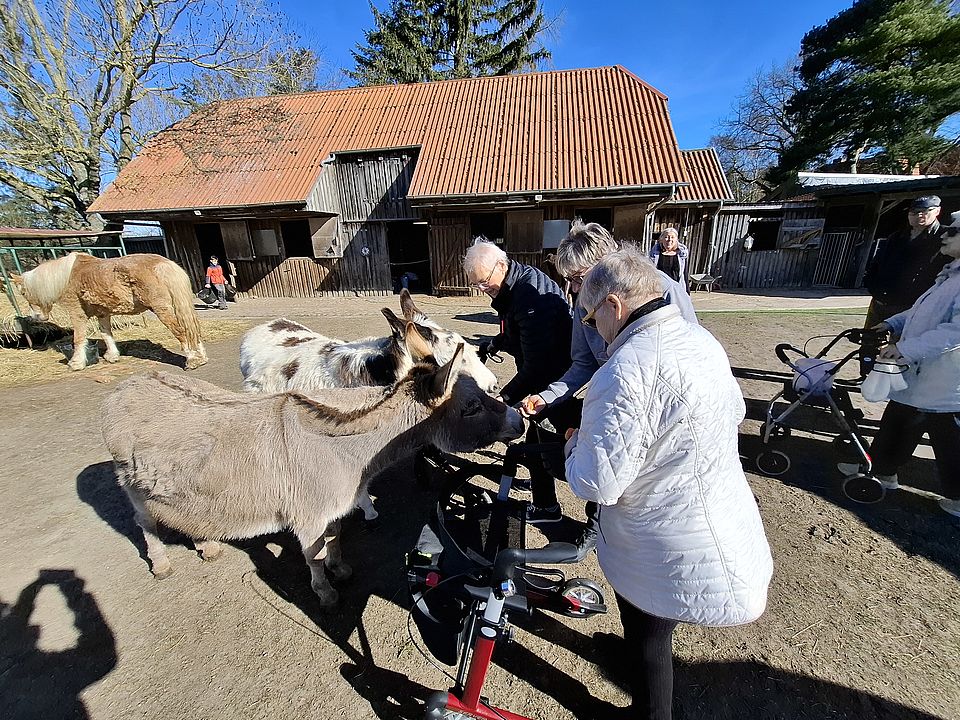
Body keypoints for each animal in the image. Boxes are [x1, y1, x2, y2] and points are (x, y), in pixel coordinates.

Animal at [14, 252, 207, 371]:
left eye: (23, 292)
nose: (35, 316)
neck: (67, 276)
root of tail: (163, 264)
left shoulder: (77, 312)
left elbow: (79, 338)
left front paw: (76, 363)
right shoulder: (103, 313)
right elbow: (106, 334)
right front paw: (112, 356)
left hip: (162, 309)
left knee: (182, 331)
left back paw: (192, 360)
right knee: (192, 330)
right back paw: (201, 357)